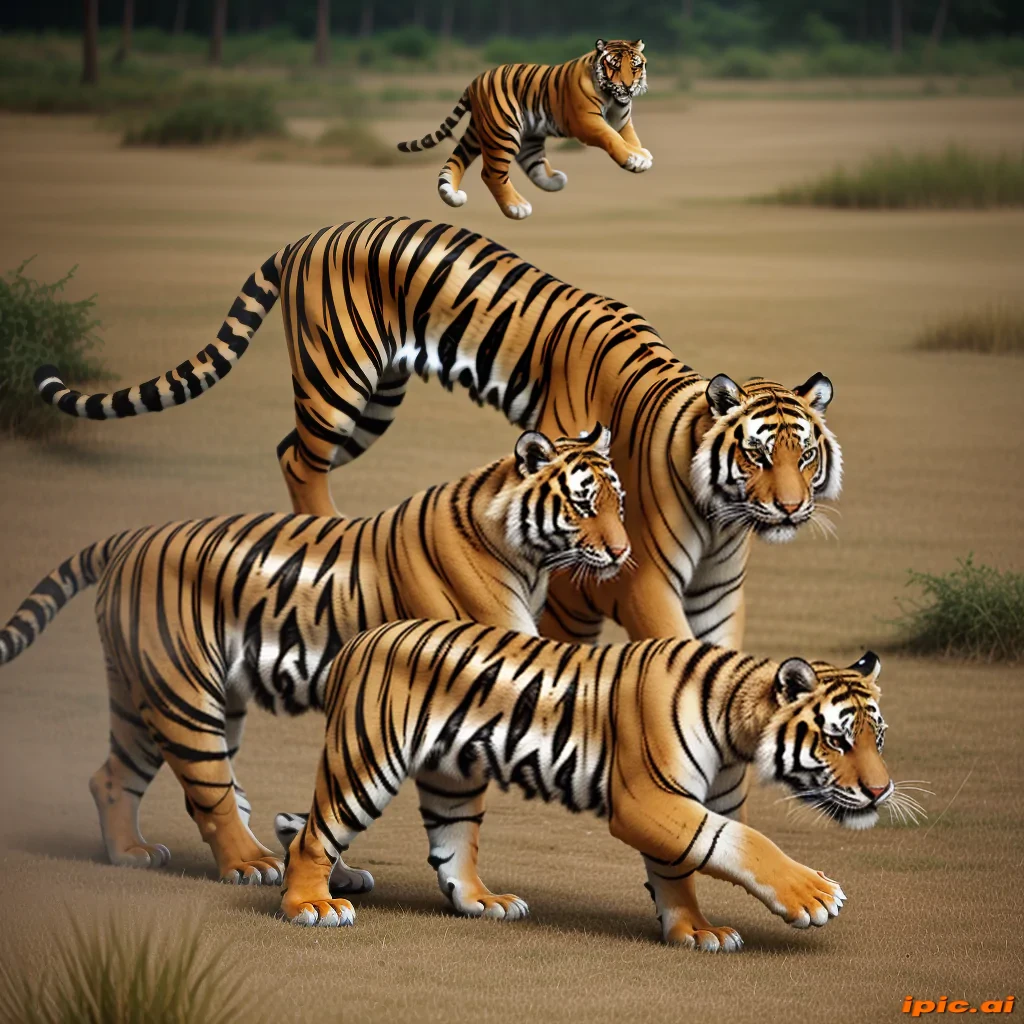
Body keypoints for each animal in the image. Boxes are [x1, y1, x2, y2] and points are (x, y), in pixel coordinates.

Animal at [0, 428, 628, 886]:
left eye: (619, 504)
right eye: (583, 504)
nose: (623, 552)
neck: (528, 563)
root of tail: (128, 538)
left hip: (153, 693)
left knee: (112, 776)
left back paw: (131, 852)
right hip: (182, 693)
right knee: (210, 787)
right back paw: (251, 863)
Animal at [34, 216, 842, 658]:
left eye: (805, 454)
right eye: (758, 452)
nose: (791, 507)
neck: (724, 516)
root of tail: (307, 234)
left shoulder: (717, 597)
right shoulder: (638, 579)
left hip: (373, 403)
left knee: (289, 450)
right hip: (338, 380)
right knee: (300, 457)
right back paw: (327, 531)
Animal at [274, 618, 893, 950]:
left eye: (878, 739)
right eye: (838, 741)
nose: (881, 792)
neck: (737, 726)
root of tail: (361, 638)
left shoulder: (676, 805)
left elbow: (679, 869)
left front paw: (695, 932)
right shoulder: (647, 799)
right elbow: (743, 843)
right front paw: (813, 894)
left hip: (452, 779)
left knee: (449, 850)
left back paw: (485, 902)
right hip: (367, 762)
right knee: (313, 835)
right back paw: (313, 905)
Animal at [396, 38, 650, 219]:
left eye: (635, 66)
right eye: (614, 66)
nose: (628, 86)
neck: (612, 97)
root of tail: (474, 82)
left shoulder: (621, 119)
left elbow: (629, 137)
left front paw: (640, 155)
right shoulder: (587, 121)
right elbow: (612, 138)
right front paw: (634, 158)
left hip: (498, 132)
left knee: (460, 162)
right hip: (503, 131)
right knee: (491, 173)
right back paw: (516, 207)